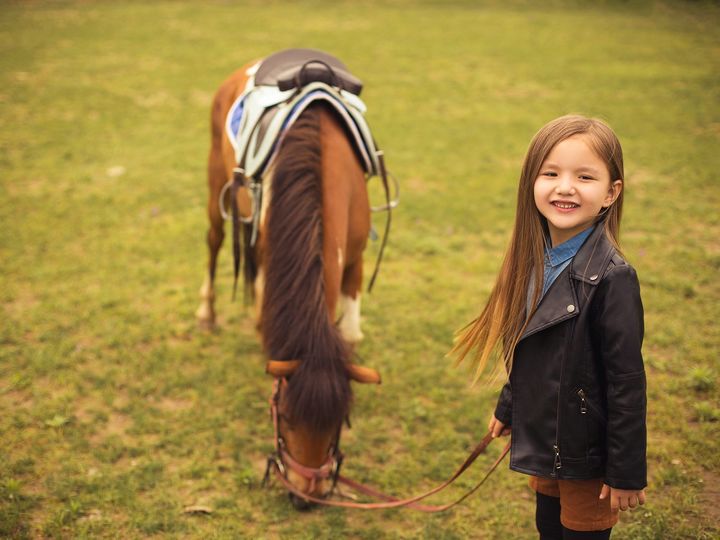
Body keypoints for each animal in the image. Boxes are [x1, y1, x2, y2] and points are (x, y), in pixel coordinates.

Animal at [191, 57, 382, 508]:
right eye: (287, 418)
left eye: (339, 423)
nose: (304, 498)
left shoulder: (355, 260)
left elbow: (350, 332)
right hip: (216, 186)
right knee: (213, 241)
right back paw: (206, 313)